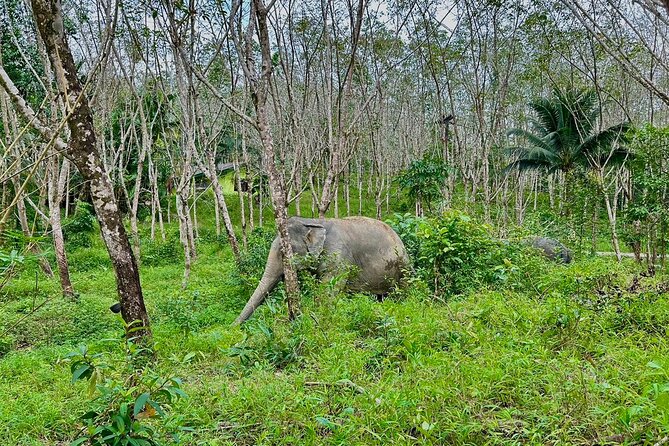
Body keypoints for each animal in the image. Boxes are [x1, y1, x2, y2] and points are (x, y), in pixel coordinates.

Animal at [237, 216, 410, 324]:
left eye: (283, 252)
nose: (234, 329)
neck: (313, 221)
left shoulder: (339, 257)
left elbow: (328, 290)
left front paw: (317, 318)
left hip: (402, 268)